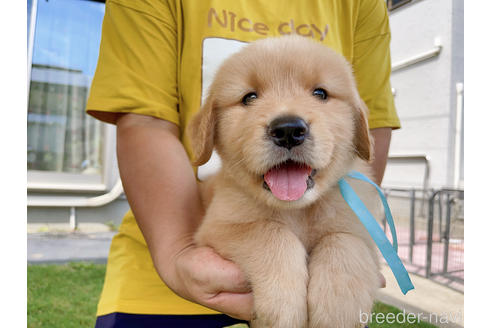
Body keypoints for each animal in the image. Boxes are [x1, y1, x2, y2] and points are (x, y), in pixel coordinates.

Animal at [187, 34, 380, 326]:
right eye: (249, 97)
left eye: (320, 94)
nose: (288, 130)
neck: (297, 210)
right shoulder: (218, 227)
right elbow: (270, 233)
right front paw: (284, 306)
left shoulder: (366, 235)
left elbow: (344, 242)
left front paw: (338, 310)